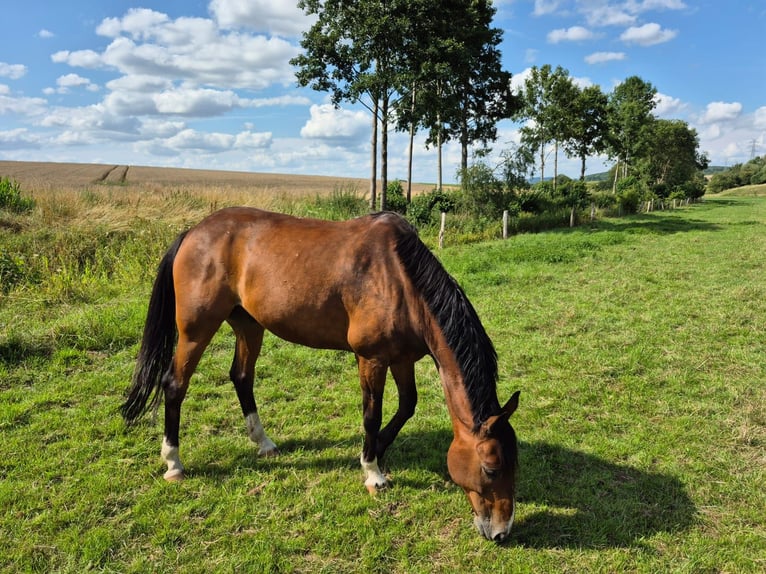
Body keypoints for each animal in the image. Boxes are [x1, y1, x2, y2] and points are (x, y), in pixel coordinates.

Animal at [121, 207, 521, 542]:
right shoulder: (372, 358)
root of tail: (193, 232)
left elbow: (407, 405)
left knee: (242, 377)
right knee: (175, 385)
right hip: (196, 329)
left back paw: (264, 443)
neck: (400, 278)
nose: (501, 532)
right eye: (491, 468)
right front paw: (372, 471)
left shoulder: (402, 357)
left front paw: (378, 451)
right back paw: (174, 462)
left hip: (248, 324)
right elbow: (372, 414)